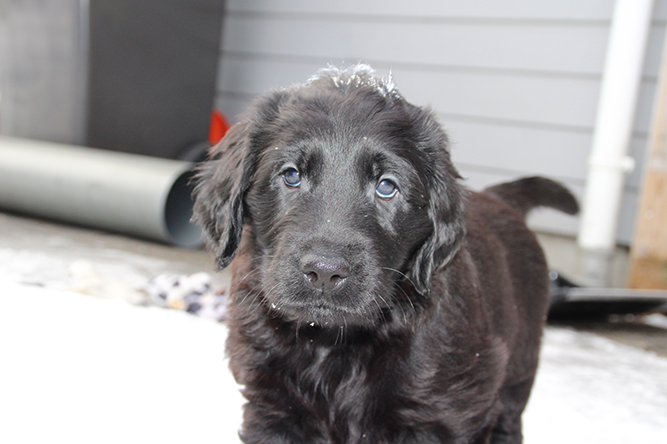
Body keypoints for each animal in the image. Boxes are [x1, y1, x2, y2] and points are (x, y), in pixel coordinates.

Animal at [193, 65, 578, 444]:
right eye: (291, 176)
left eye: (386, 187)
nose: (325, 271)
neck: (332, 341)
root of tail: (499, 198)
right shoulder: (271, 407)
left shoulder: (445, 413)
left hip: (519, 369)